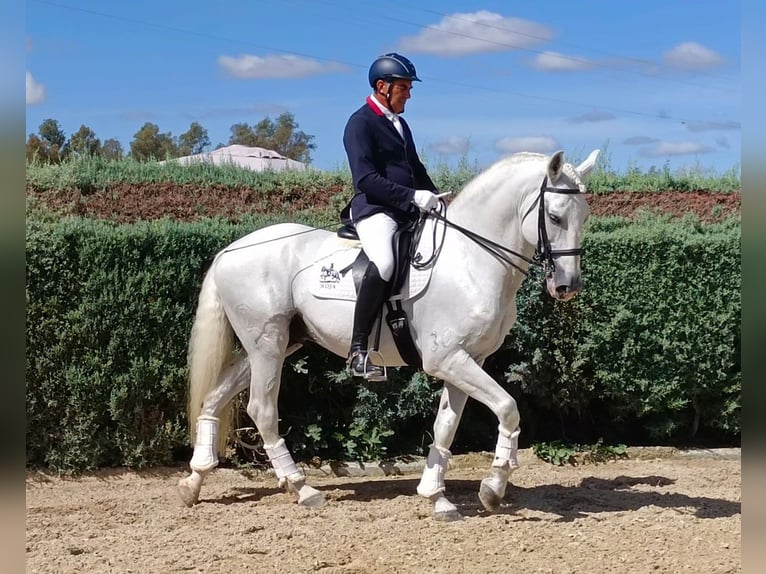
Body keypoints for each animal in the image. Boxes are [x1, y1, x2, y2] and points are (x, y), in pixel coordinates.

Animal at [178, 148, 600, 520]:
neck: (470, 260)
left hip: (276, 343)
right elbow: (508, 407)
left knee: (214, 397)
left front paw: (437, 497)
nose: (567, 286)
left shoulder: (469, 359)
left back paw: (194, 482)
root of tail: (229, 251)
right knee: (262, 409)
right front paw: (493, 488)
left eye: (585, 215)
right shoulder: (448, 359)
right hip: (267, 344)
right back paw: (302, 487)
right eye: (555, 216)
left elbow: (446, 425)